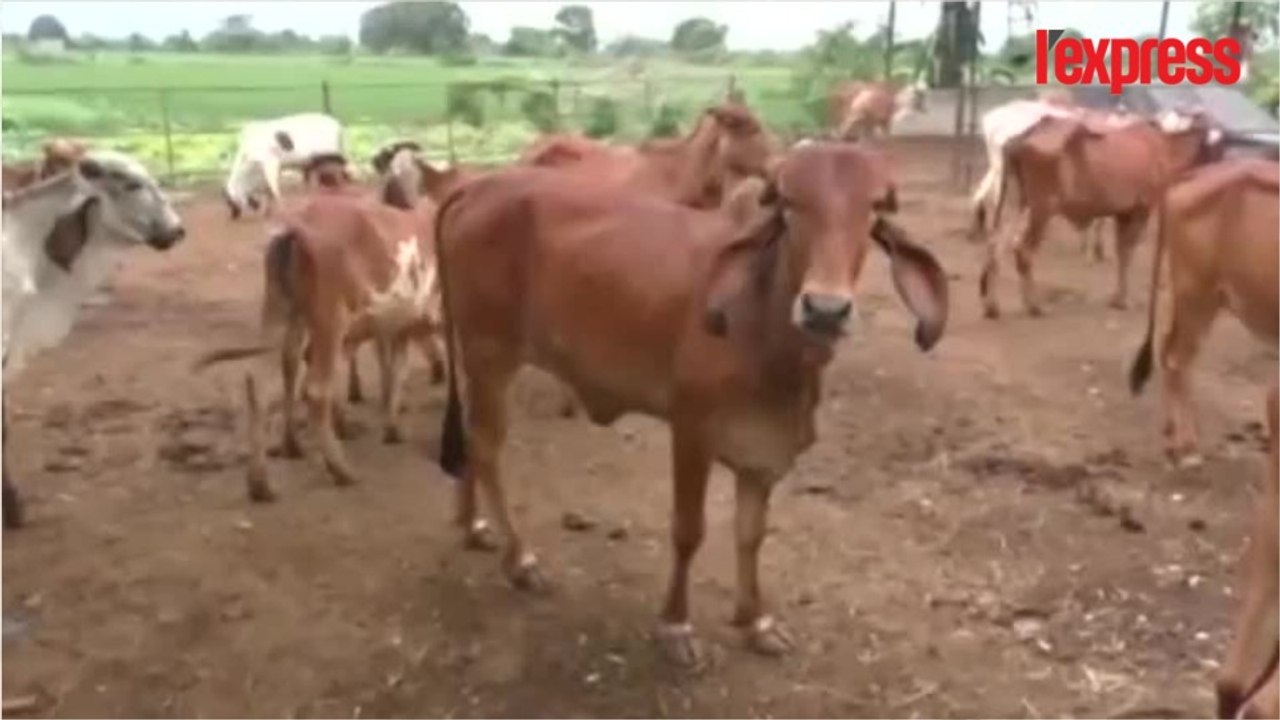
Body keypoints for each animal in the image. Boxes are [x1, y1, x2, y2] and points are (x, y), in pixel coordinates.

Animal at [195, 157, 445, 502]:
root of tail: (294, 228)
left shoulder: (399, 324)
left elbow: (398, 371)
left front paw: (393, 427)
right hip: (329, 320)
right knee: (316, 389)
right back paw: (340, 468)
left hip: (282, 312)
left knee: (265, 383)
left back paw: (263, 479)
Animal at [430, 142, 949, 667]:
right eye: (789, 204)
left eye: (874, 210)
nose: (825, 309)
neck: (763, 322)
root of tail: (479, 186)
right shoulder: (691, 429)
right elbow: (689, 531)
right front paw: (676, 625)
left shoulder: (762, 447)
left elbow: (751, 534)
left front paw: (757, 622)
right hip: (490, 354)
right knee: (487, 448)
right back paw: (520, 560)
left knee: (472, 440)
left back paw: (474, 526)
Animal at [979, 110, 1223, 318]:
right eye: (1218, 148)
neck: (1165, 148)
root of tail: (1022, 137)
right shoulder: (1140, 210)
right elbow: (1127, 252)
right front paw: (1123, 300)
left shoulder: (1122, 213)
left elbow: (1122, 253)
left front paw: (1117, 298)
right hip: (1042, 209)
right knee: (1023, 250)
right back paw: (1034, 306)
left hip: (1016, 203)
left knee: (995, 245)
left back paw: (992, 306)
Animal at [1128, 158, 1278, 466]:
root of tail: (1196, 172)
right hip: (1196, 296)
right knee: (1177, 359)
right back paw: (1186, 446)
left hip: (1193, 300)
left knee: (1168, 351)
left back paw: (1171, 429)